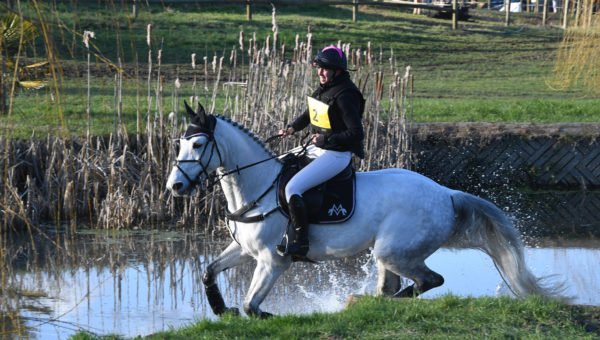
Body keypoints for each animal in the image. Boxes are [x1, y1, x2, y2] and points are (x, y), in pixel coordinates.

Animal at [168, 101, 564, 318]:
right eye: (179, 143)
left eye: (199, 144)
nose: (175, 187)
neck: (257, 187)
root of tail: (446, 193)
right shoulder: (244, 250)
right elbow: (208, 272)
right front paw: (222, 309)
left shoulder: (272, 260)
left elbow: (252, 305)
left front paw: (262, 314)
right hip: (388, 254)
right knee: (394, 286)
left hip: (394, 251)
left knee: (428, 281)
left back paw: (383, 304)